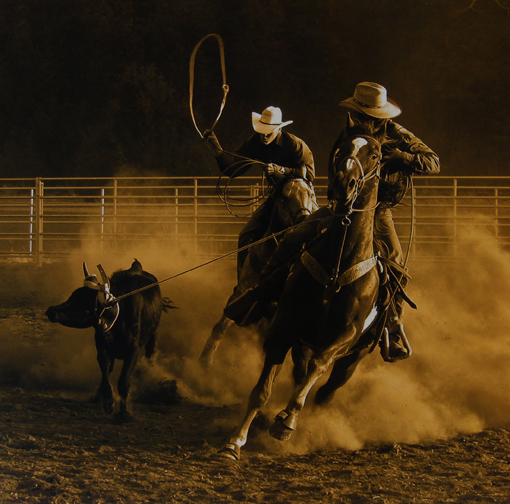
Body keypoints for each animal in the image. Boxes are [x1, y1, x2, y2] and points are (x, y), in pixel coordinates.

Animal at [198, 179, 314, 368]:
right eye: (284, 197)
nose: (304, 220)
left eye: (310, 194)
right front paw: (205, 360)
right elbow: (221, 326)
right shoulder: (242, 294)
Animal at [216, 123, 386, 460]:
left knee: (325, 389)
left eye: (374, 154)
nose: (346, 184)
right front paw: (235, 441)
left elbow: (319, 367)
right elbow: (261, 391)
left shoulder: (343, 335)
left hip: (355, 355)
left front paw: (287, 421)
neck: (336, 265)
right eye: (342, 148)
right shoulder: (283, 327)